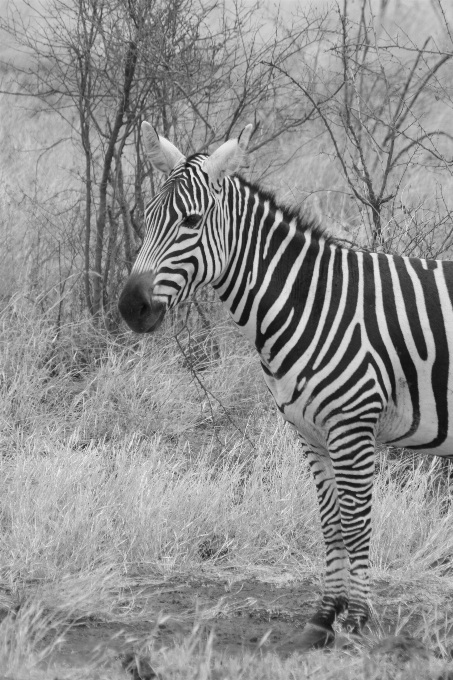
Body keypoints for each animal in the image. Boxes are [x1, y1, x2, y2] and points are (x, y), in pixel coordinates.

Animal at [118, 121, 452, 648]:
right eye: (148, 217)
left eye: (191, 222)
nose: (130, 308)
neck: (312, 301)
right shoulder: (310, 432)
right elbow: (331, 523)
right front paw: (323, 618)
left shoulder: (352, 426)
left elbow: (356, 521)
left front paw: (357, 622)